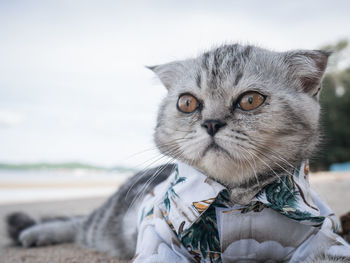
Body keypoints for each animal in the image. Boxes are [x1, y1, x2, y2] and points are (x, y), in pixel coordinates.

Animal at [6, 44, 350, 262]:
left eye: (250, 100)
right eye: (187, 103)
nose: (211, 123)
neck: (238, 199)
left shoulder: (325, 240)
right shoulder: (158, 237)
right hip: (109, 222)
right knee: (80, 224)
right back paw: (35, 234)